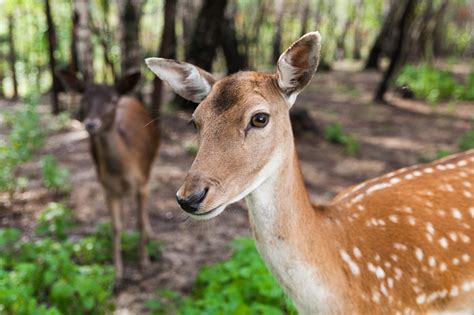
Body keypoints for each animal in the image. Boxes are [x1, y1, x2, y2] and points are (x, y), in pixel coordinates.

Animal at [56, 71, 160, 286]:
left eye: (112, 100)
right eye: (84, 98)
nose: (91, 124)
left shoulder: (142, 183)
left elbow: (138, 221)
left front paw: (144, 263)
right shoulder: (107, 189)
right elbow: (115, 227)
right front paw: (117, 274)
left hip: (151, 164)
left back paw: (150, 235)